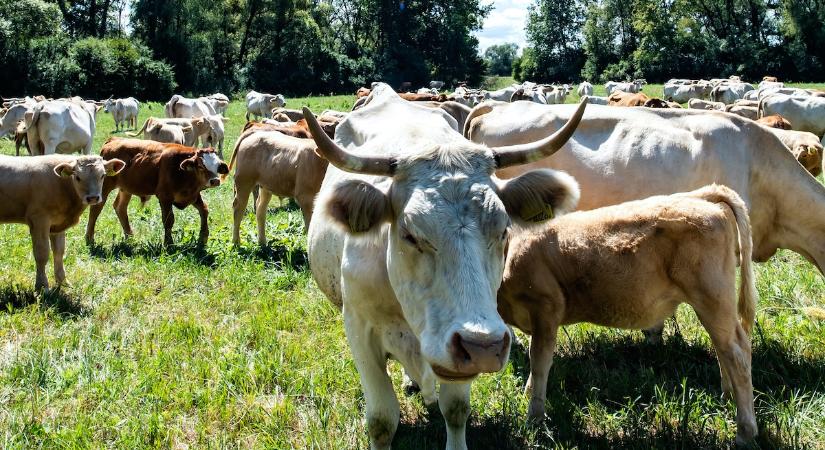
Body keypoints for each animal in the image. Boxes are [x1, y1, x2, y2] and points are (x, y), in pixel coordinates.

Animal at [0, 154, 124, 288]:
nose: (93, 198)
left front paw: (63, 281)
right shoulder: (39, 220)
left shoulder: (58, 225)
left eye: (102, 175)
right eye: (77, 177)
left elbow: (59, 252)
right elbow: (42, 253)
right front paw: (42, 285)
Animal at [86, 139, 229, 248]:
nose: (215, 180)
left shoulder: (193, 196)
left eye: (217, 166)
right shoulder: (165, 197)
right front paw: (169, 244)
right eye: (200, 166)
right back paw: (89, 239)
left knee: (120, 207)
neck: (184, 172)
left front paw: (202, 238)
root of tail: (112, 140)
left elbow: (204, 210)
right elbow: (168, 220)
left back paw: (130, 236)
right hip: (105, 186)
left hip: (126, 189)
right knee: (95, 210)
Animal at [302, 84, 584, 450]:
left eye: (504, 230)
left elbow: (456, 409)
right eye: (410, 234)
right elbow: (381, 420)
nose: (483, 347)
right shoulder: (359, 329)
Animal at [498, 185, 756, 444]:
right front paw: (529, 394)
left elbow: (539, 362)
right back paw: (728, 395)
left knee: (737, 354)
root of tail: (700, 195)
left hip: (712, 296)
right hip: (715, 304)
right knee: (724, 347)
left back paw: (745, 431)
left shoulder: (545, 308)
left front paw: (534, 420)